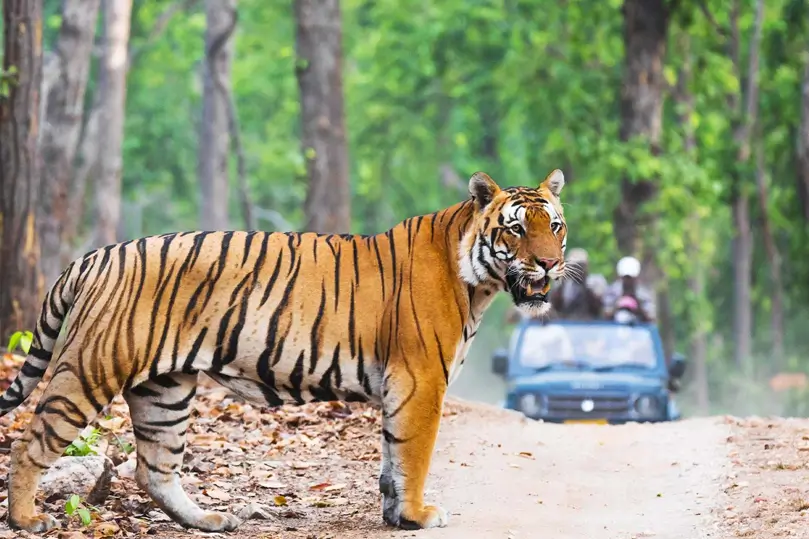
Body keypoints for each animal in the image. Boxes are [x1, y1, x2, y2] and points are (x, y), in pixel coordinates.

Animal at [0, 168, 568, 533]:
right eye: (516, 228)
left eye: (555, 226)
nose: (548, 264)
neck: (477, 283)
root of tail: (94, 255)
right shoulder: (421, 379)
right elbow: (414, 453)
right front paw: (416, 516)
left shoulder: (402, 385)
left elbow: (392, 456)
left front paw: (393, 516)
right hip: (91, 369)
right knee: (31, 442)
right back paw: (26, 518)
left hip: (164, 390)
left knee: (154, 469)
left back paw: (210, 520)